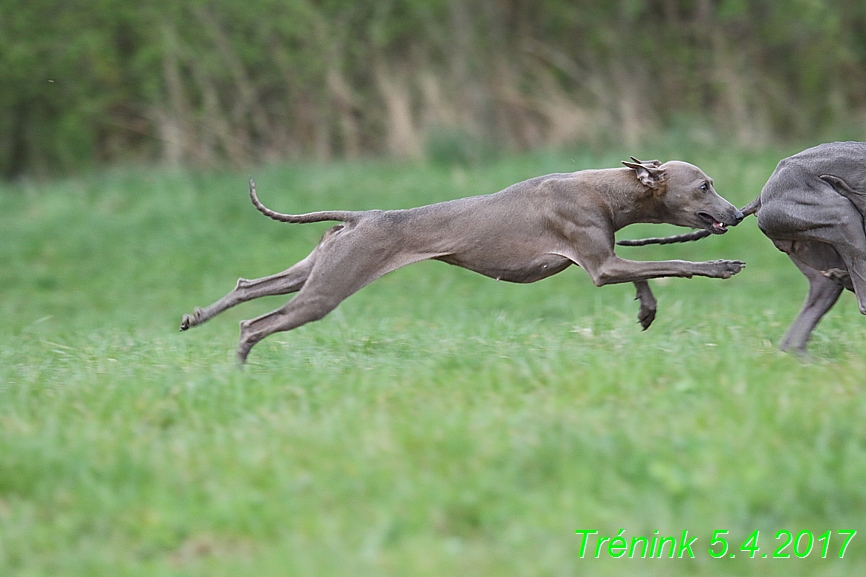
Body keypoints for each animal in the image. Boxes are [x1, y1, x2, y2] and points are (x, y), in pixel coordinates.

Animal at [181, 158, 744, 362]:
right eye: (705, 186)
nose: (736, 214)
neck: (608, 189)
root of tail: (360, 217)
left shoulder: (606, 258)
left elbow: (645, 274)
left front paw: (646, 309)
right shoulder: (598, 265)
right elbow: (675, 266)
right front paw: (722, 267)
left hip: (313, 269)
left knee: (247, 287)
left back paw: (194, 317)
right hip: (326, 289)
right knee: (255, 323)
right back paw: (239, 364)